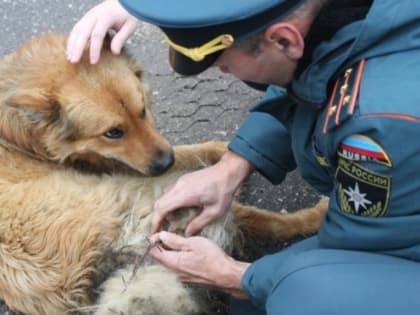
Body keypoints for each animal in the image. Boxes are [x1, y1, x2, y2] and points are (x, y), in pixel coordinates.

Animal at [0, 33, 328, 314]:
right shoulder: (119, 165)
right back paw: (314, 214)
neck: (20, 134)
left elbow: (190, 150)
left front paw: (228, 150)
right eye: (113, 132)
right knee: (264, 221)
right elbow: (188, 155)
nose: (164, 163)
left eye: (143, 110)